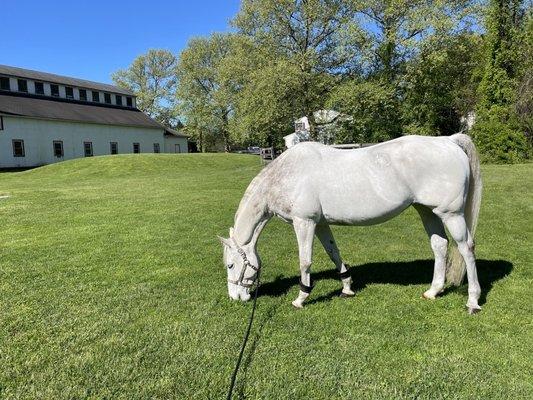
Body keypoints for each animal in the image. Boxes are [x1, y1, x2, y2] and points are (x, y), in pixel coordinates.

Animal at [218, 135, 480, 316]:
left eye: (230, 265)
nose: (235, 297)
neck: (286, 175)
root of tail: (448, 140)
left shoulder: (304, 222)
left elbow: (305, 261)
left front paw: (301, 298)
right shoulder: (320, 224)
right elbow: (334, 252)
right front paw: (346, 287)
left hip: (451, 214)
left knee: (466, 249)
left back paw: (473, 302)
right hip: (427, 211)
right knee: (440, 246)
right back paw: (433, 291)